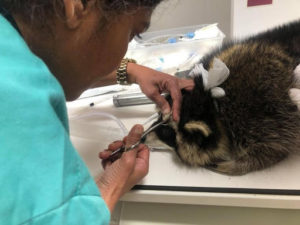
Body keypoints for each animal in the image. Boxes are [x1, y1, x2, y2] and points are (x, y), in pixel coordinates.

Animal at [145, 19, 300, 176]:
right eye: (160, 117)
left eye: (166, 132)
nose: (143, 138)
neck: (213, 105)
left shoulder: (269, 119)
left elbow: (270, 152)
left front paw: (236, 165)